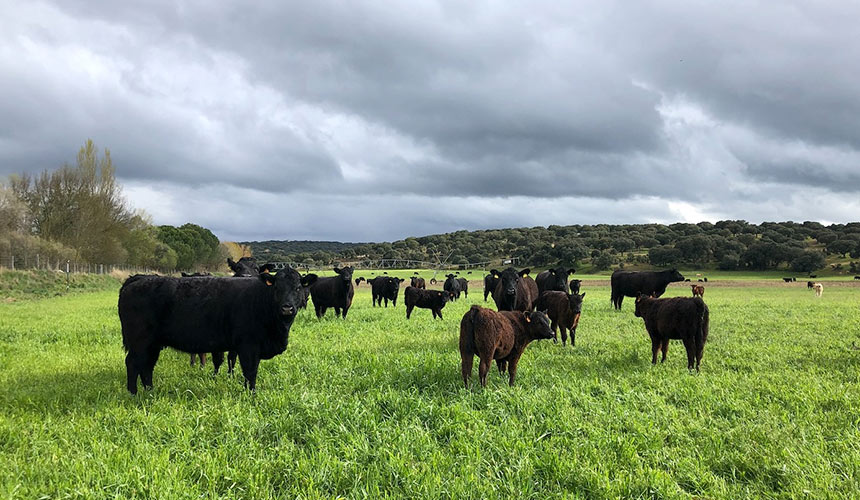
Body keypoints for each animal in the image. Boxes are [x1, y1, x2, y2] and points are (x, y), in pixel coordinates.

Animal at [116, 270, 314, 394]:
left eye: (298, 288)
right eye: (277, 288)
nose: (287, 308)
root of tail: (138, 279)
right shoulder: (248, 346)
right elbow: (250, 372)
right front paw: (251, 395)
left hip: (152, 344)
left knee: (147, 366)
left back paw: (149, 391)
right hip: (140, 341)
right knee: (133, 364)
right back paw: (133, 393)